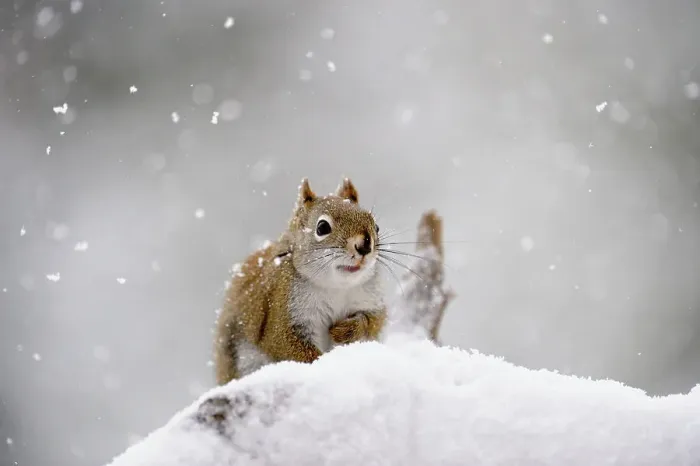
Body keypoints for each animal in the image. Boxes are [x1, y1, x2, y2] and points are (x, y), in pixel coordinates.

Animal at [214, 177, 387, 385]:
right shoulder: (283, 313)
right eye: (322, 227)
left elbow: (374, 322)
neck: (336, 287)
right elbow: (287, 345)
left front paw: (346, 330)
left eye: (376, 227)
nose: (365, 245)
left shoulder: (369, 299)